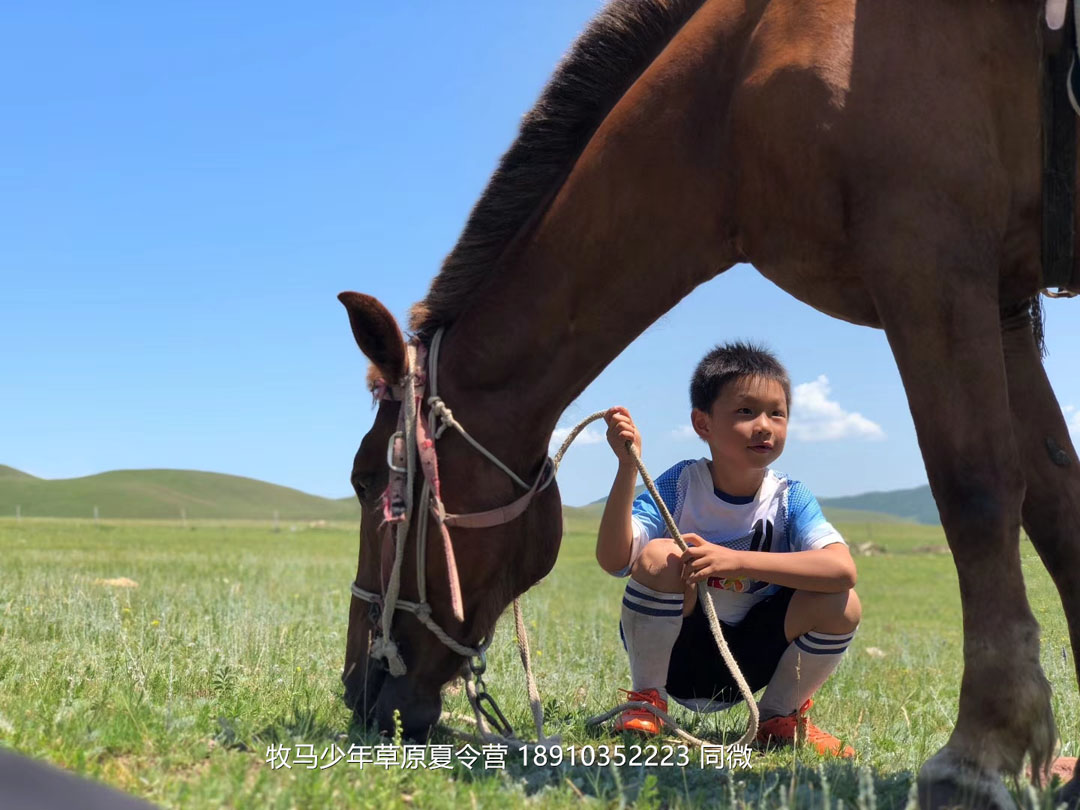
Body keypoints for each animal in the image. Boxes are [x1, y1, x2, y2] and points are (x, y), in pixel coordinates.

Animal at [341, 3, 1080, 807]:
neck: (735, 88)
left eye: (371, 483)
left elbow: (975, 489)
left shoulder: (930, 255)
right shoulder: (1001, 300)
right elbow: (1055, 504)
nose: (358, 689)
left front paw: (980, 754)